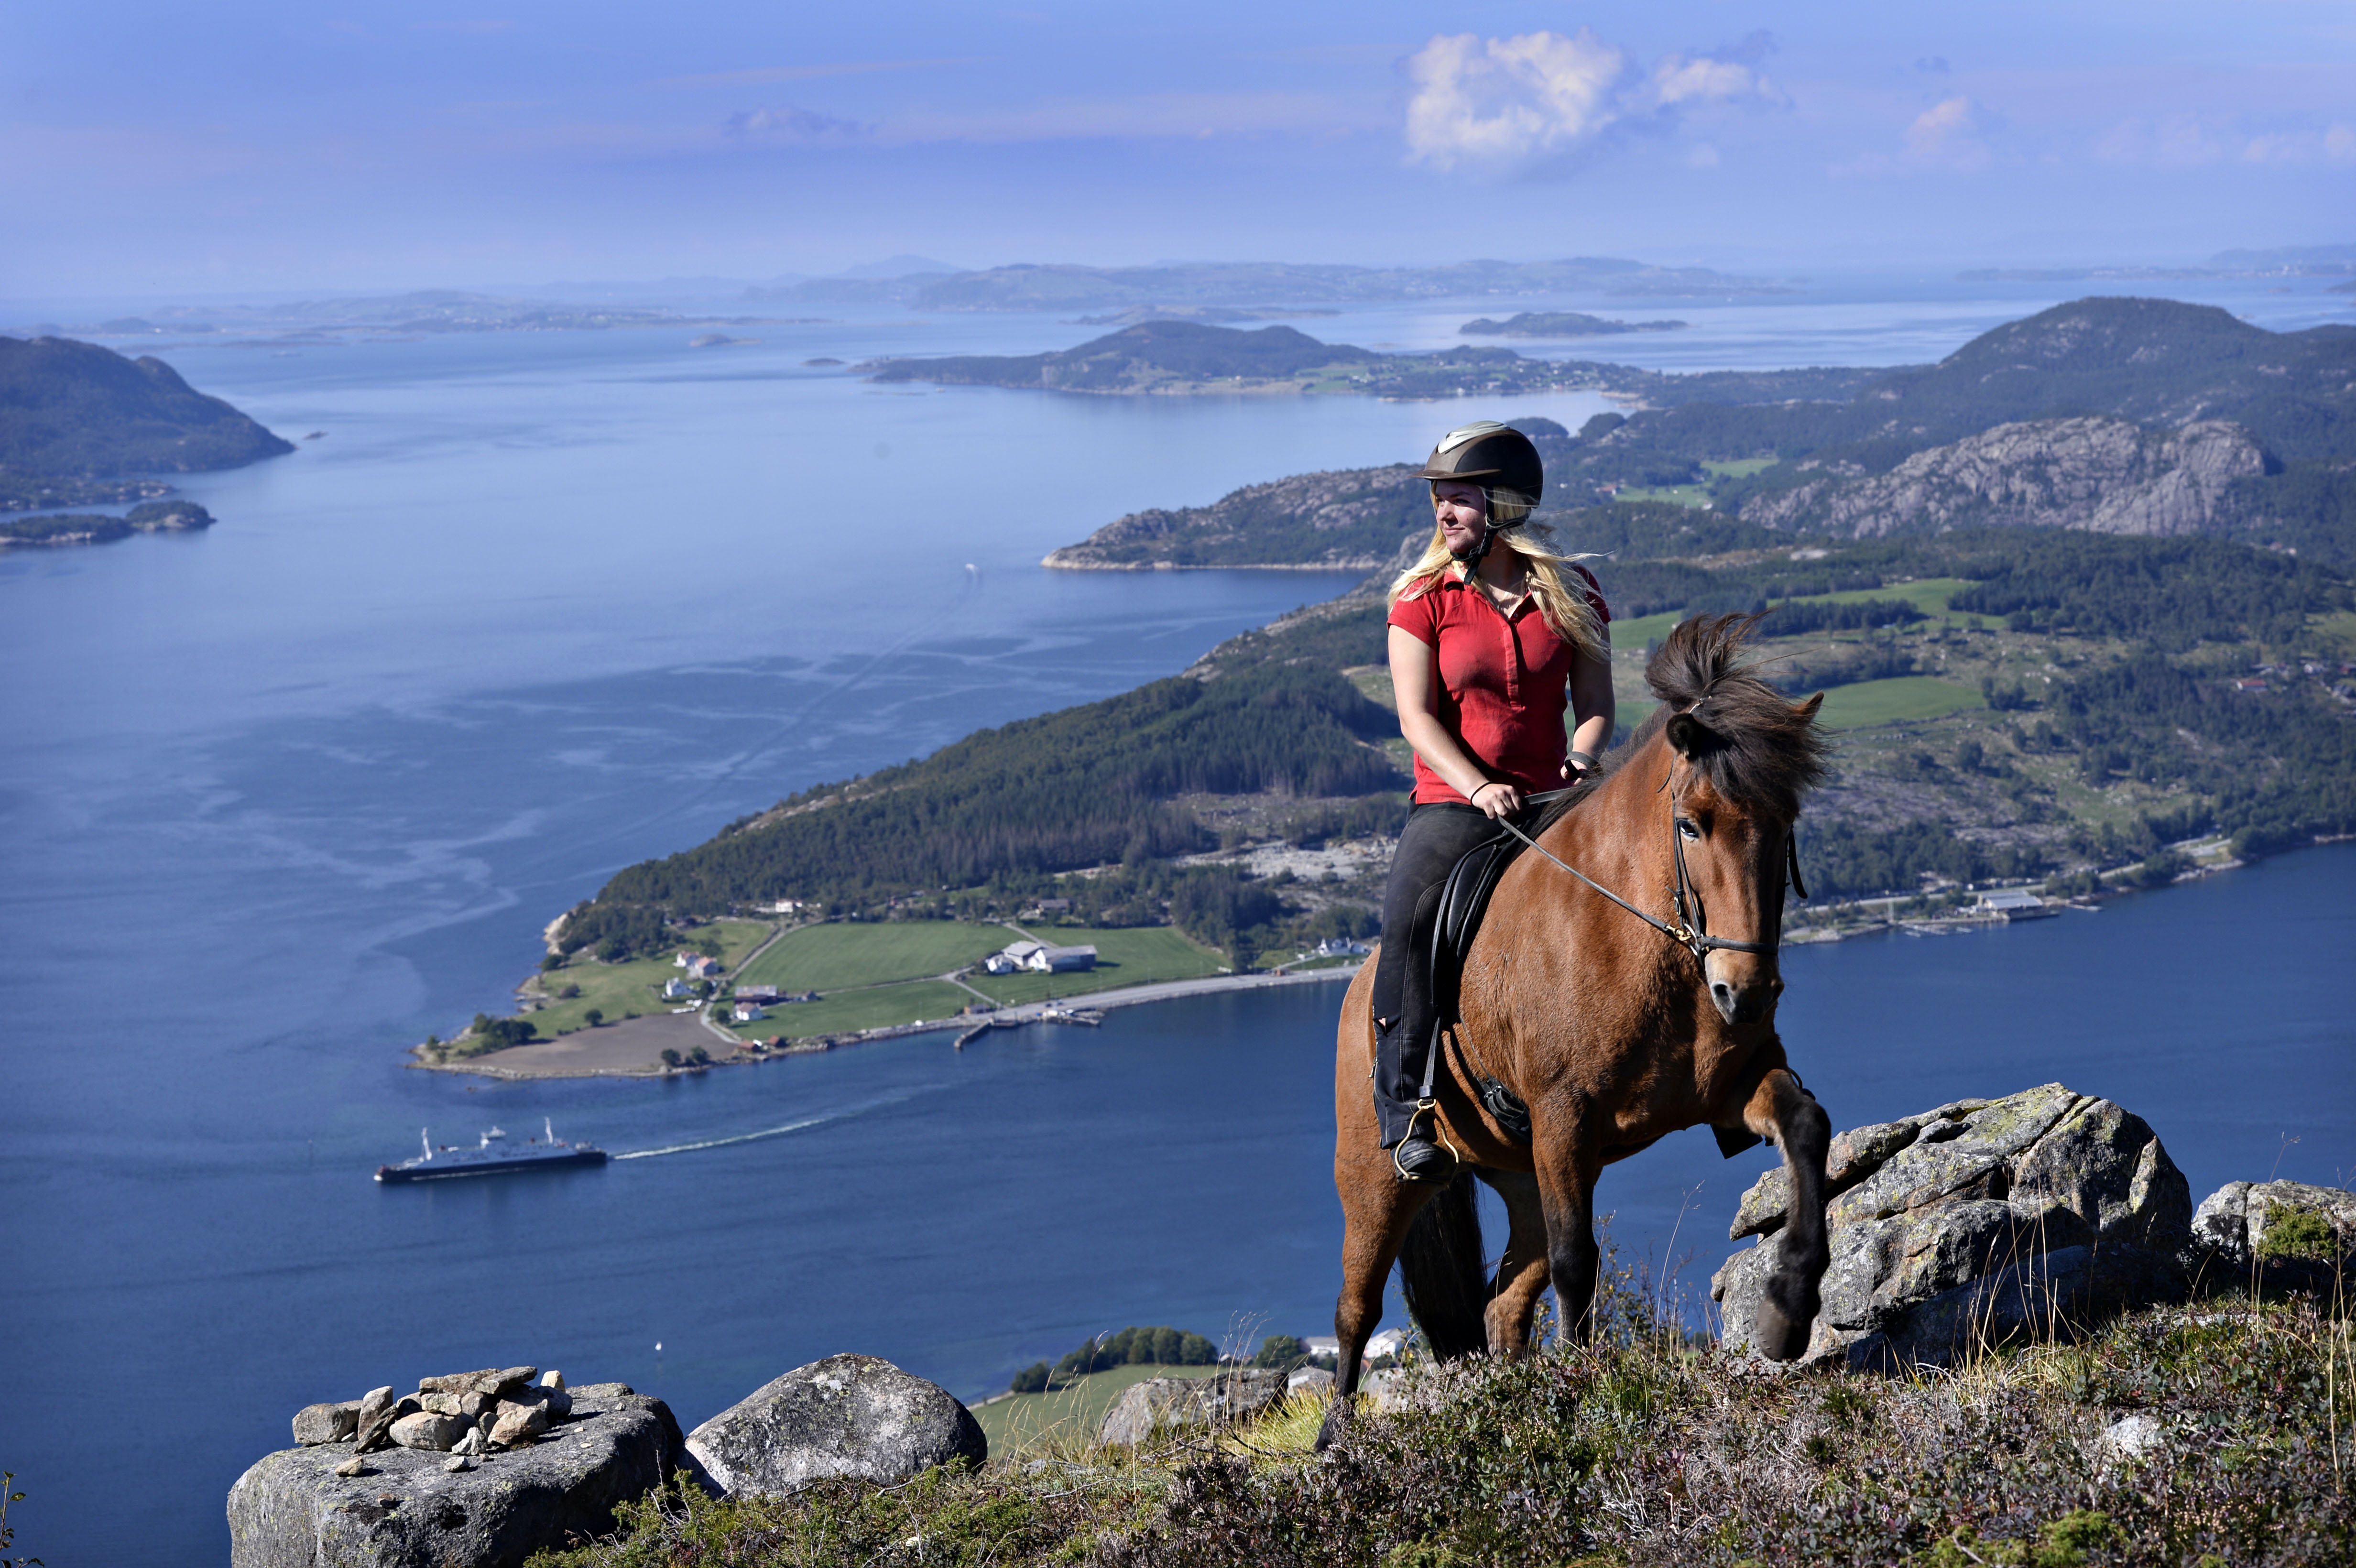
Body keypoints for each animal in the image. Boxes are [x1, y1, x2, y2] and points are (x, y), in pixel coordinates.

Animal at [1319, 612, 1828, 1441]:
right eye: (1692, 825)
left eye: (1784, 826)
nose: (1745, 992)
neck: (1642, 938)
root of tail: (1359, 987)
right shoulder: (1566, 1120)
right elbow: (1576, 1262)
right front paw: (1588, 1395)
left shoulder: (1732, 1087)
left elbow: (1807, 1128)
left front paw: (1789, 1309)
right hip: (1374, 1178)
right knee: (1355, 1311)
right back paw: (1336, 1446)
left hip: (1519, 1176)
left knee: (1502, 1302)